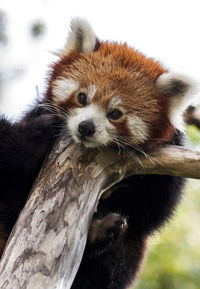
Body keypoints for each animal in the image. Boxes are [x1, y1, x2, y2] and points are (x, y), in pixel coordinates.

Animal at [0, 18, 198, 288]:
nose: (86, 127)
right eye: (82, 97)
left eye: (115, 113)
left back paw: (100, 233)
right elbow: (13, 158)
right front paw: (38, 131)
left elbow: (152, 210)